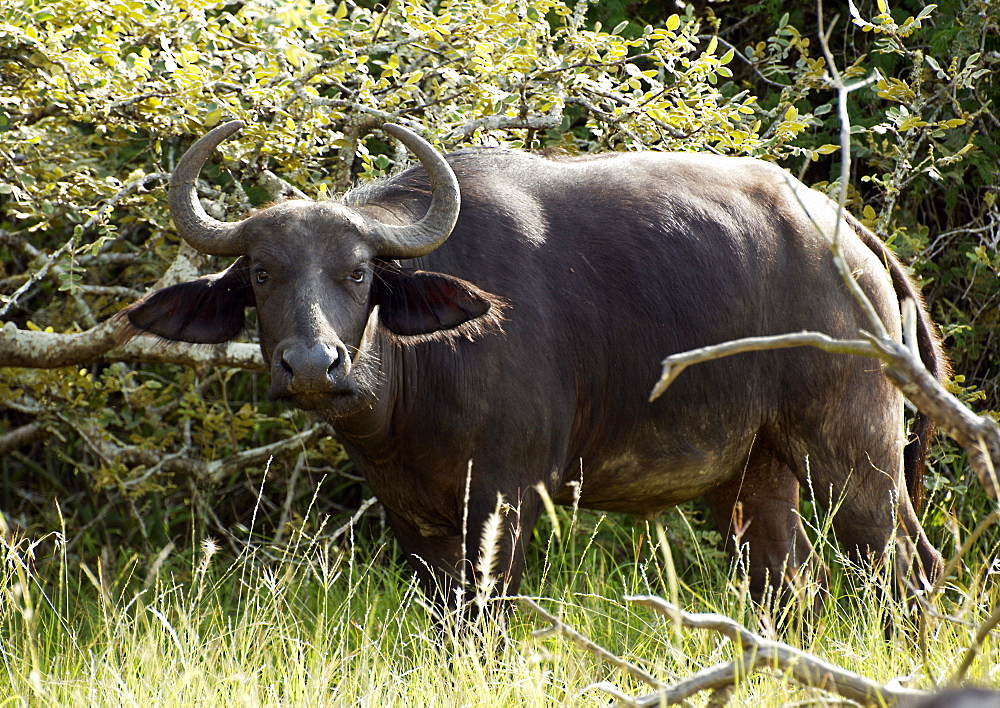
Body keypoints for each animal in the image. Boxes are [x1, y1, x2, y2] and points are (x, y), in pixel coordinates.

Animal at [117, 120, 944, 620]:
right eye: (261, 274)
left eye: (357, 273)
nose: (315, 365)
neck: (414, 382)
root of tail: (849, 237)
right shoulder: (414, 520)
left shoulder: (504, 502)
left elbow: (487, 623)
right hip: (751, 474)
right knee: (790, 584)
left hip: (855, 450)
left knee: (906, 567)